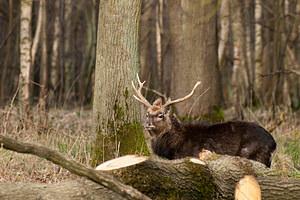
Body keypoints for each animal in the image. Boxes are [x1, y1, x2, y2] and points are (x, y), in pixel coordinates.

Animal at [131, 75, 276, 167]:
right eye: (147, 114)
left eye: (160, 115)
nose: (147, 124)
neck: (173, 145)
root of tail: (274, 144)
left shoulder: (191, 156)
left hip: (252, 153)